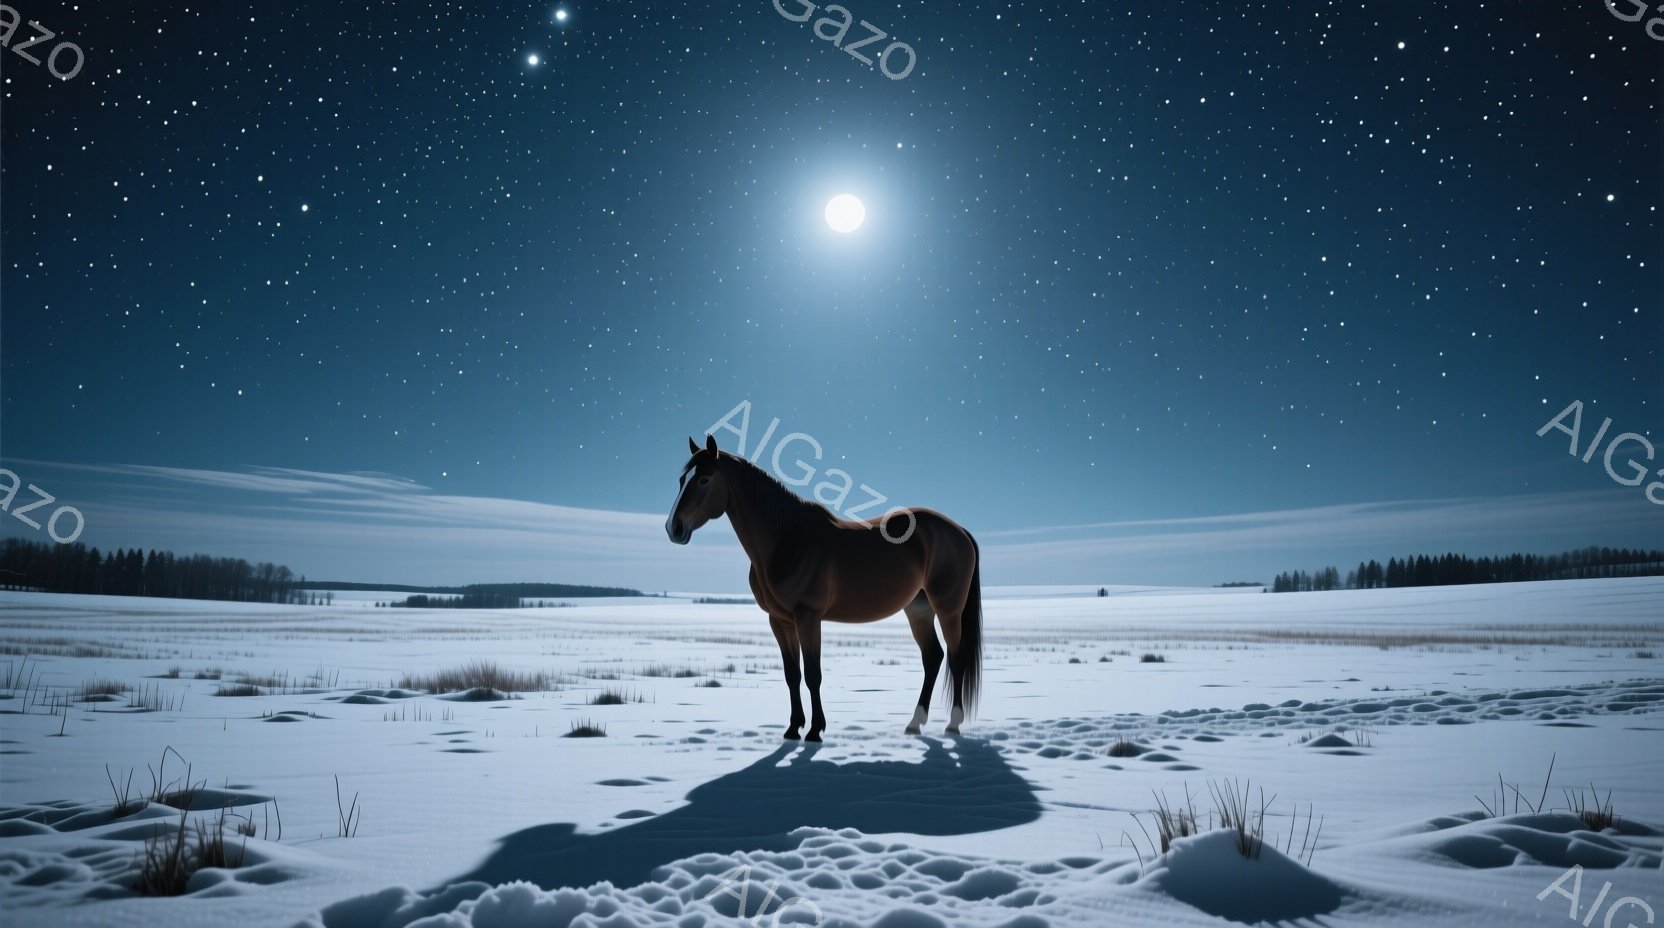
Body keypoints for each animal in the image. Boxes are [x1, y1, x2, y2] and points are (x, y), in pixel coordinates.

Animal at [666, 434, 983, 741]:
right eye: (682, 479)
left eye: (704, 479)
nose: (673, 528)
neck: (787, 540)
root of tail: (959, 531)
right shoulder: (779, 620)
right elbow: (792, 674)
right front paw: (793, 728)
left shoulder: (808, 617)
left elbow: (812, 674)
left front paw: (815, 731)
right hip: (918, 609)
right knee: (933, 657)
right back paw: (914, 724)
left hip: (948, 610)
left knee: (956, 658)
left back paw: (953, 725)